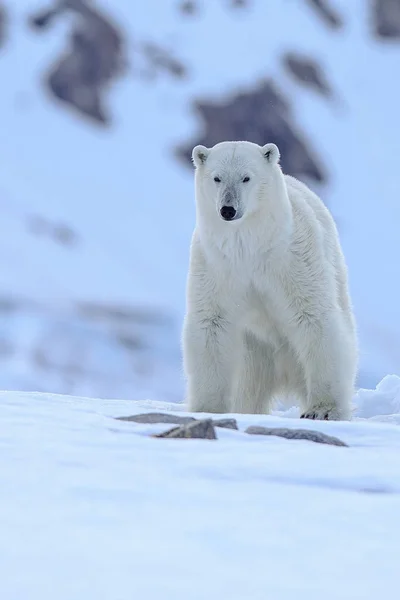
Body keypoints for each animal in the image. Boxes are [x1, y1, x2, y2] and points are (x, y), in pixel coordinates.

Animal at [183, 141, 358, 422]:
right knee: (247, 387)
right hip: (253, 355)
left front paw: (323, 410)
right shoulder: (217, 264)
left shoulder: (292, 258)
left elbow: (314, 317)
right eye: (217, 178)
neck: (250, 243)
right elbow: (212, 322)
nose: (228, 210)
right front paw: (208, 408)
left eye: (246, 177)